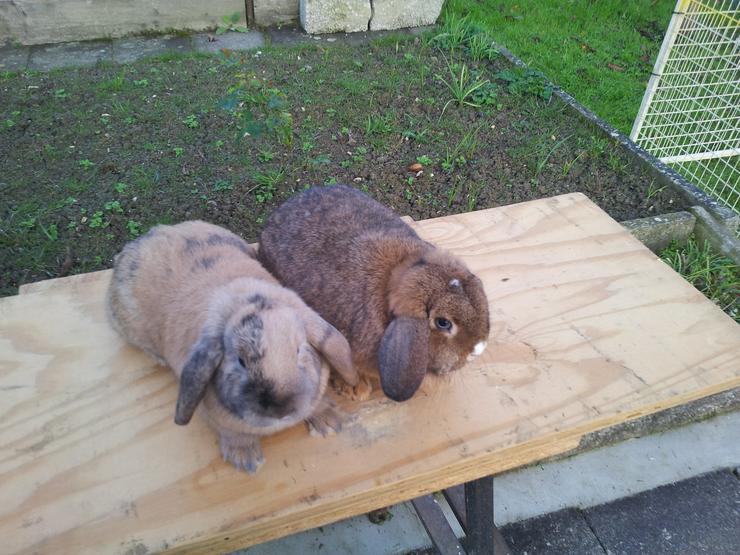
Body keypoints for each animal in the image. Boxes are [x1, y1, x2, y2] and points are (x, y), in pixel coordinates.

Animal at [107, 222, 358, 474]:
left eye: (299, 351)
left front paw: (330, 421)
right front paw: (247, 460)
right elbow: (233, 434)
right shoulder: (217, 419)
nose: (280, 409)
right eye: (240, 361)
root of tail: (140, 241)